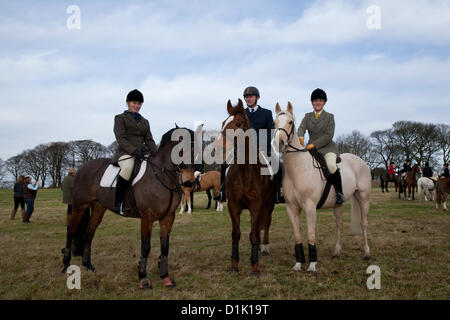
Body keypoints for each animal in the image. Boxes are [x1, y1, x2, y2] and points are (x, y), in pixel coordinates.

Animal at [213, 98, 276, 276]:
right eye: (223, 123)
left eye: (239, 123)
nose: (217, 149)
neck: (246, 171)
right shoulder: (234, 205)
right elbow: (236, 234)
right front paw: (234, 265)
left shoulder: (257, 205)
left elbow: (254, 234)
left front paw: (254, 267)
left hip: (269, 204)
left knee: (266, 224)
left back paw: (265, 248)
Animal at [270, 102, 372, 272]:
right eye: (274, 123)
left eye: (290, 122)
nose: (279, 144)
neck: (297, 170)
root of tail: (359, 160)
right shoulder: (291, 208)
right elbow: (297, 235)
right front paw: (298, 264)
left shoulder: (310, 207)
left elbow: (311, 234)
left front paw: (312, 266)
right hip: (337, 204)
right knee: (340, 225)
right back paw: (336, 252)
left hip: (363, 197)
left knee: (364, 224)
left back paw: (367, 253)